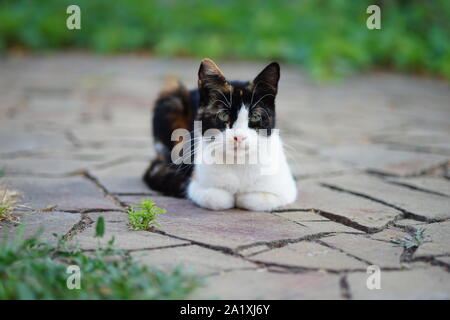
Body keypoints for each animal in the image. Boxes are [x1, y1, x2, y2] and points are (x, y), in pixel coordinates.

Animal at [144, 58, 298, 211]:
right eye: (223, 116)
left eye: (255, 117)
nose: (239, 137)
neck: (237, 163)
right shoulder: (197, 186)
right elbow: (218, 198)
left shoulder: (286, 189)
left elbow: (253, 199)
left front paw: (241, 197)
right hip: (171, 98)